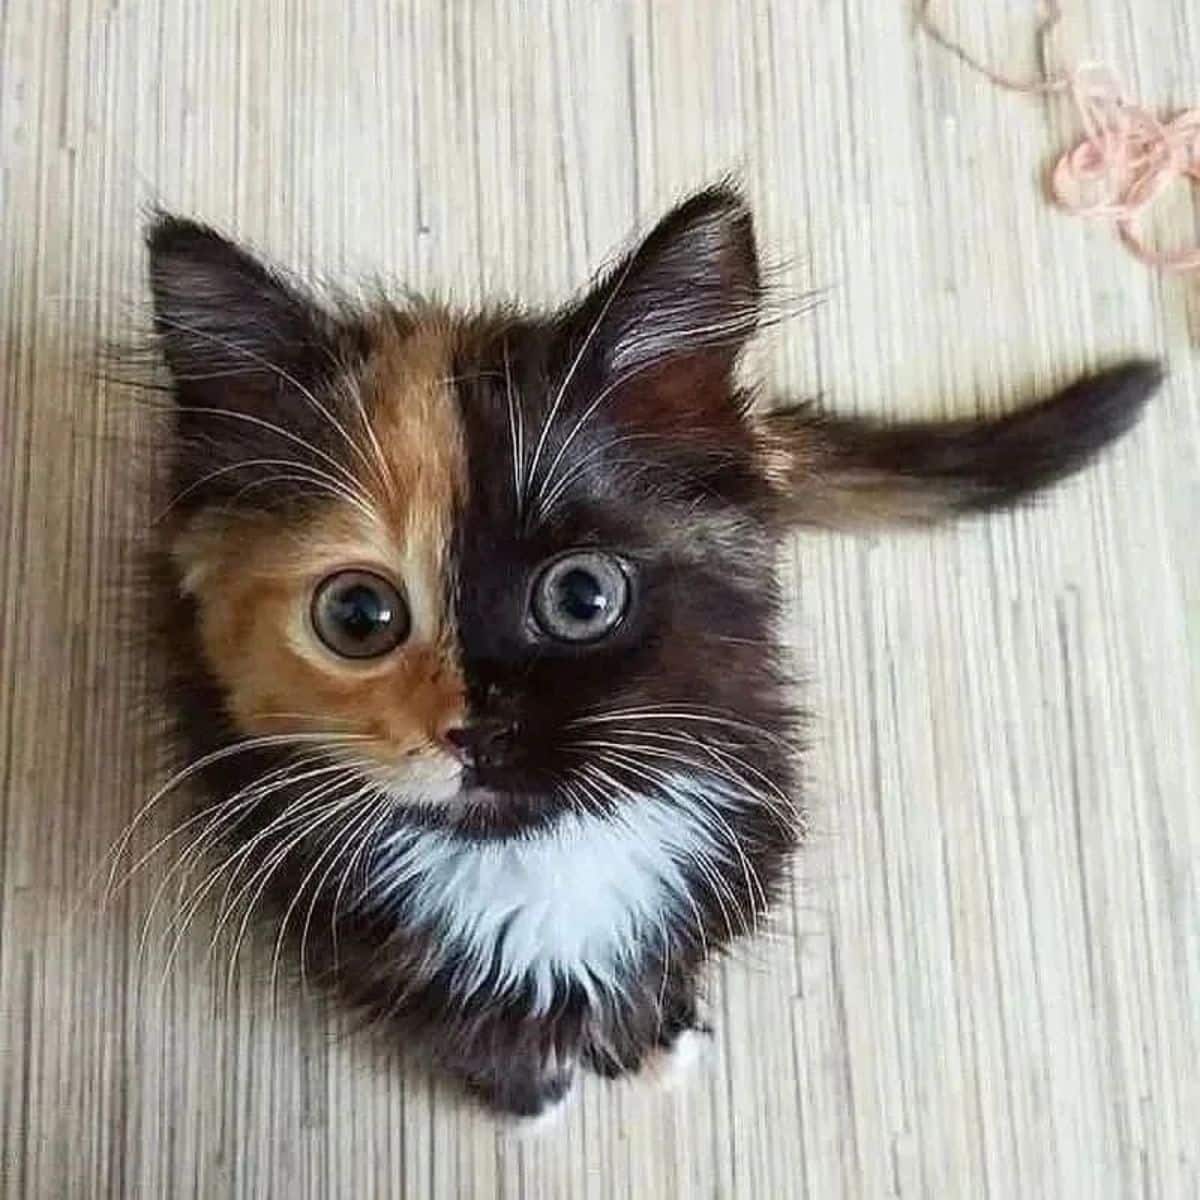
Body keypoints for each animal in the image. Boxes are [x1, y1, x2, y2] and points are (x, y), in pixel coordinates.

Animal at [142, 184, 1161, 1113]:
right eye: (357, 617)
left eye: (583, 597)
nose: (477, 731)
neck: (539, 860)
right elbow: (467, 1031)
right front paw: (530, 1096)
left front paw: (656, 1039)